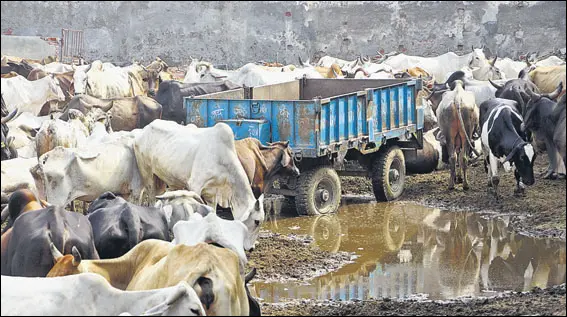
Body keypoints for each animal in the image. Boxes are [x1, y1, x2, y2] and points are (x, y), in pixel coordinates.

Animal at [134, 118, 266, 244]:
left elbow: (212, 212)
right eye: (256, 221)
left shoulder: (212, 194)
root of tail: (144, 129)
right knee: (150, 198)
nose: (251, 247)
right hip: (147, 174)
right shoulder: (195, 185)